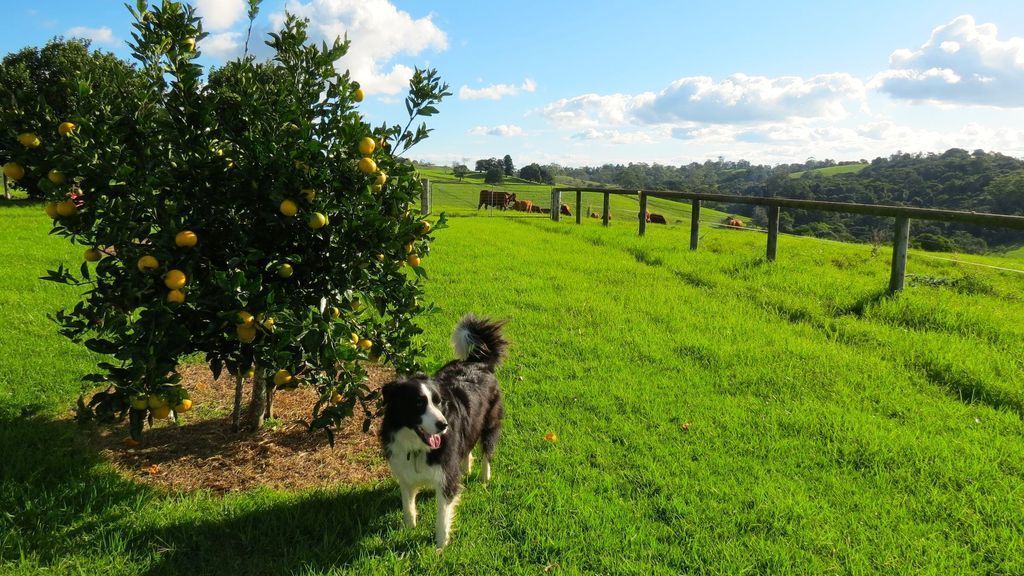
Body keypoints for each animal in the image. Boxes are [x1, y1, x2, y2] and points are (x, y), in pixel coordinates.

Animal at [380, 313, 507, 545]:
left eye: (438, 402)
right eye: (418, 404)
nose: (444, 425)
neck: (417, 447)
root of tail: (478, 362)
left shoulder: (446, 476)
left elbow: (442, 514)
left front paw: (440, 546)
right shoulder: (404, 470)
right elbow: (408, 505)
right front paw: (409, 529)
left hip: (491, 420)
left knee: (487, 449)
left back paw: (484, 477)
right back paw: (466, 467)